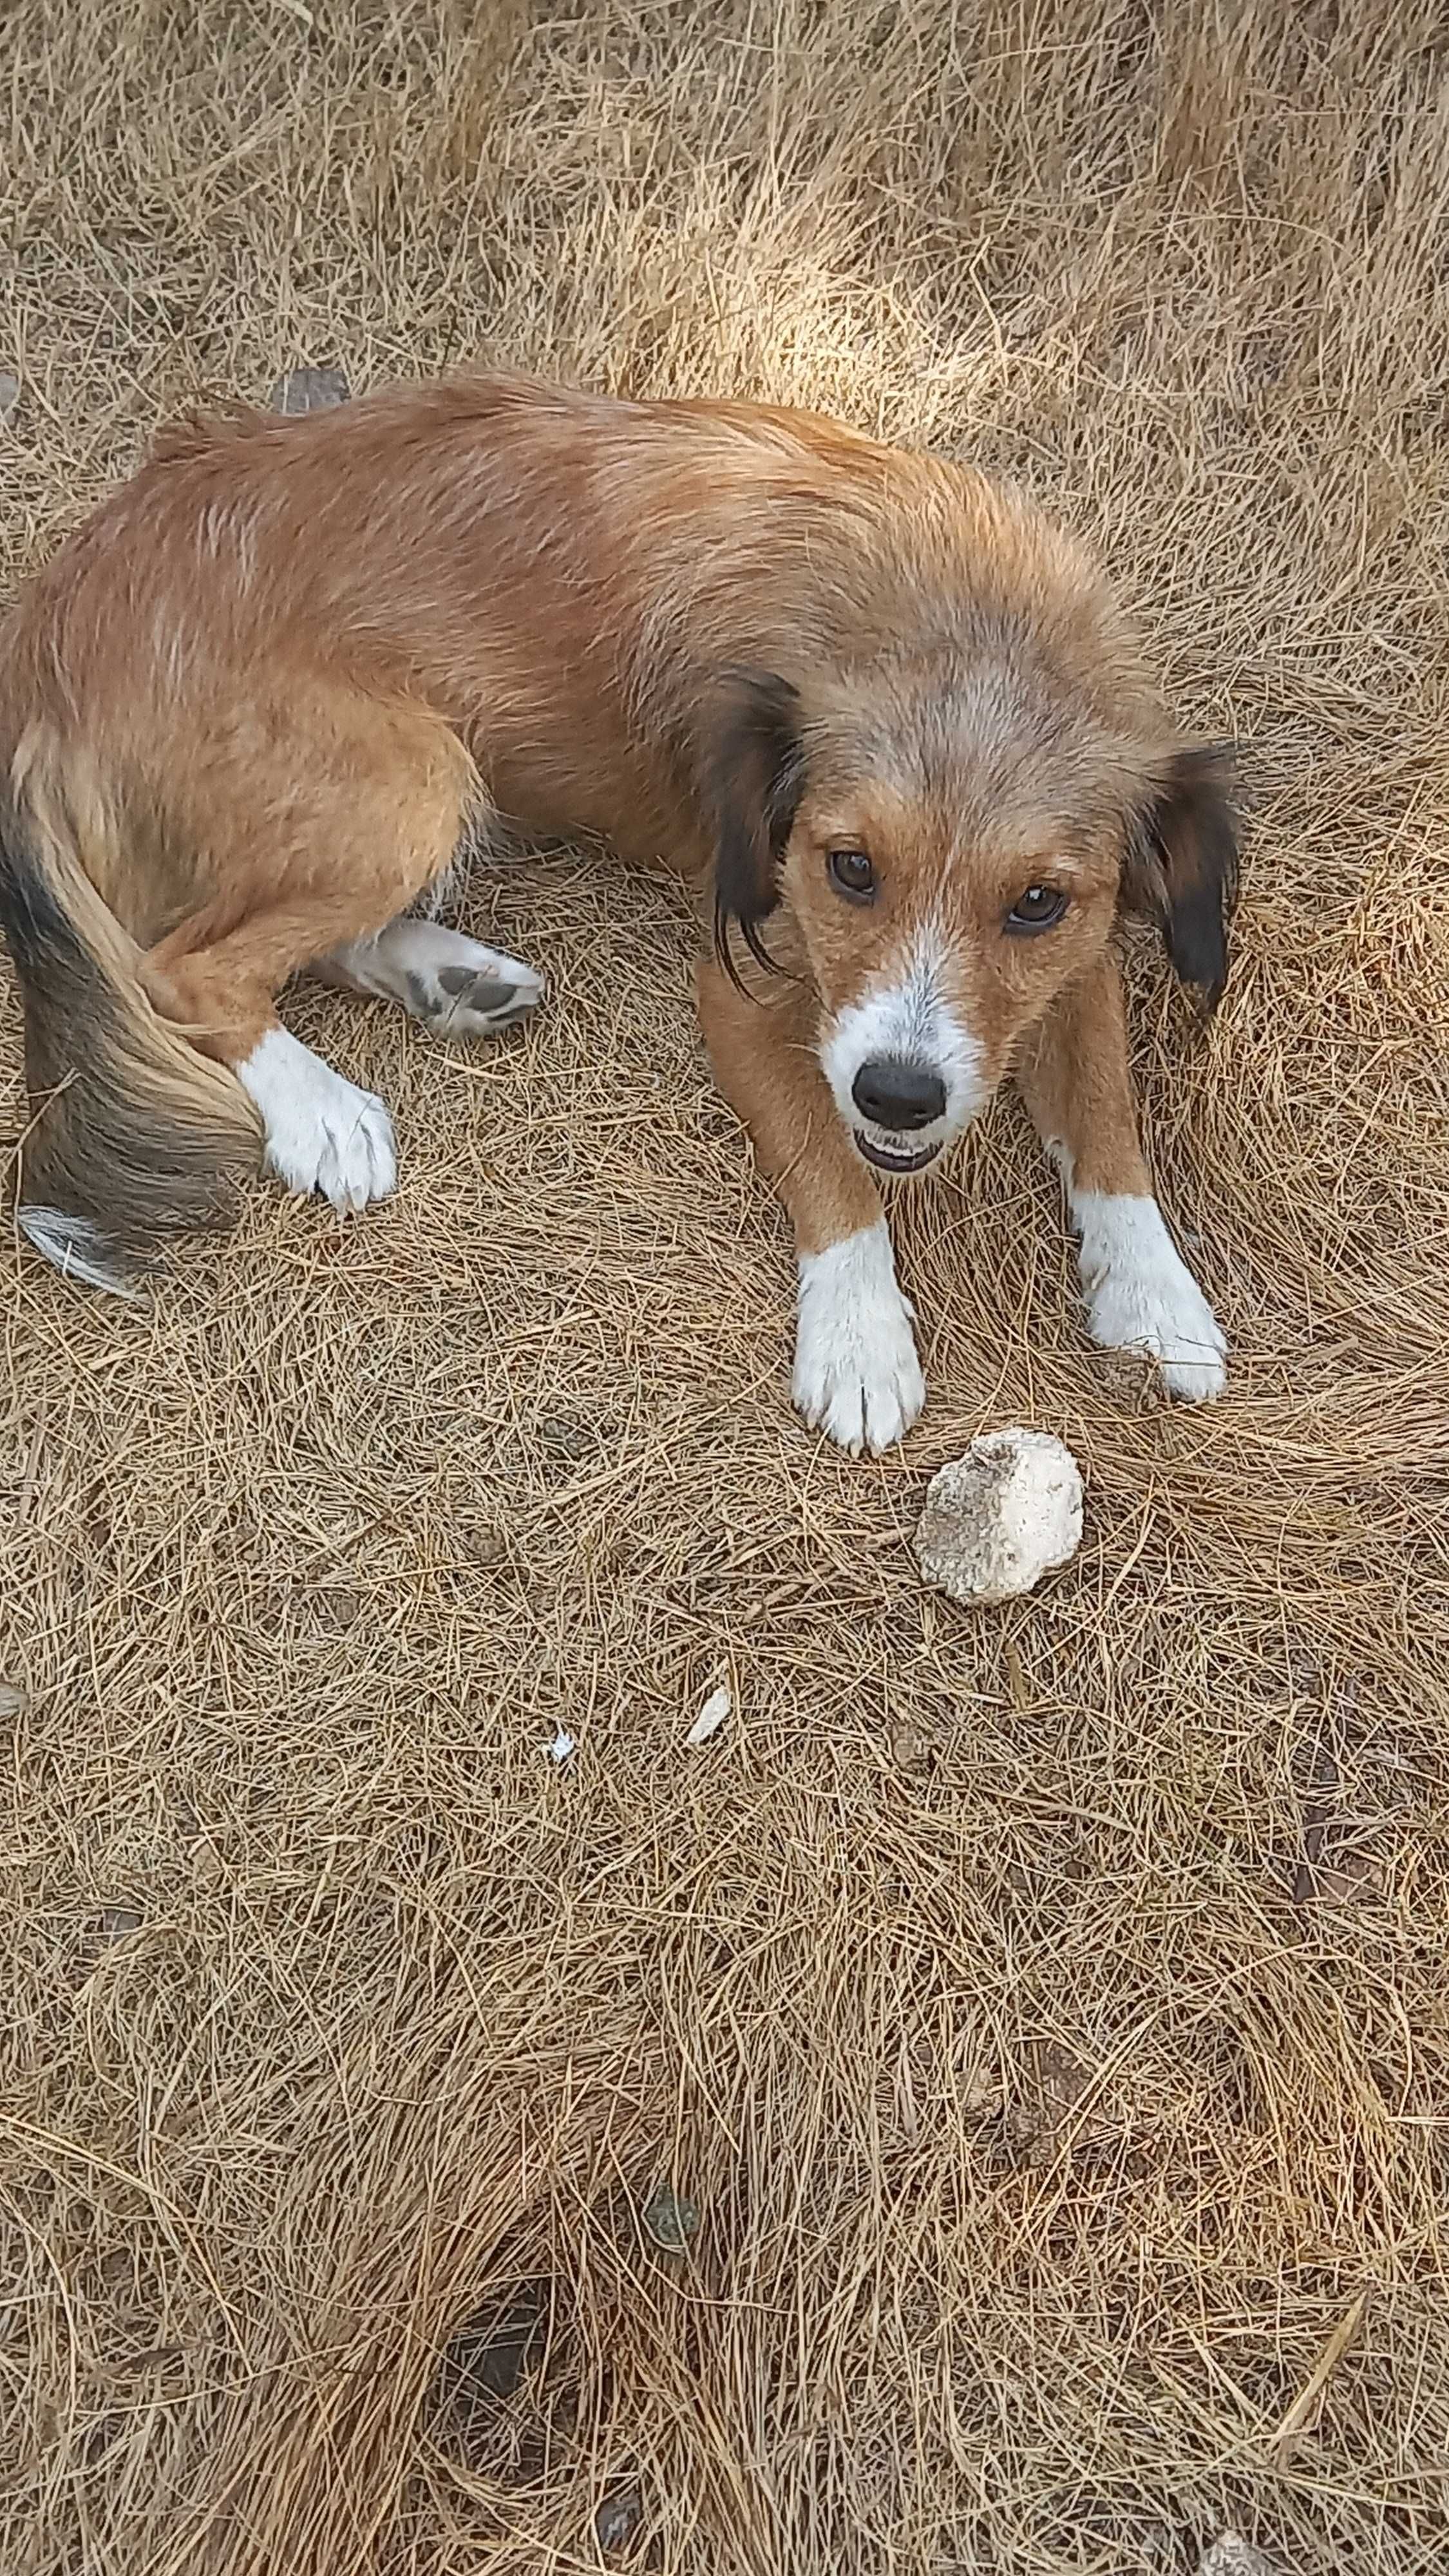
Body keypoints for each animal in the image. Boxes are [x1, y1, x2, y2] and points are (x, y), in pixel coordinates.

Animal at [0, 368, 1227, 1453]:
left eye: (1035, 902)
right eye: (850, 868)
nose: (899, 1096)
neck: (963, 623)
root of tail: (46, 645)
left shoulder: (1079, 960)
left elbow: (1107, 1118)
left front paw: (1156, 1295)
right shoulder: (744, 982)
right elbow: (832, 1171)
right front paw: (860, 1339)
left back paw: (448, 979)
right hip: (413, 779)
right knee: (186, 964)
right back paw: (323, 1111)